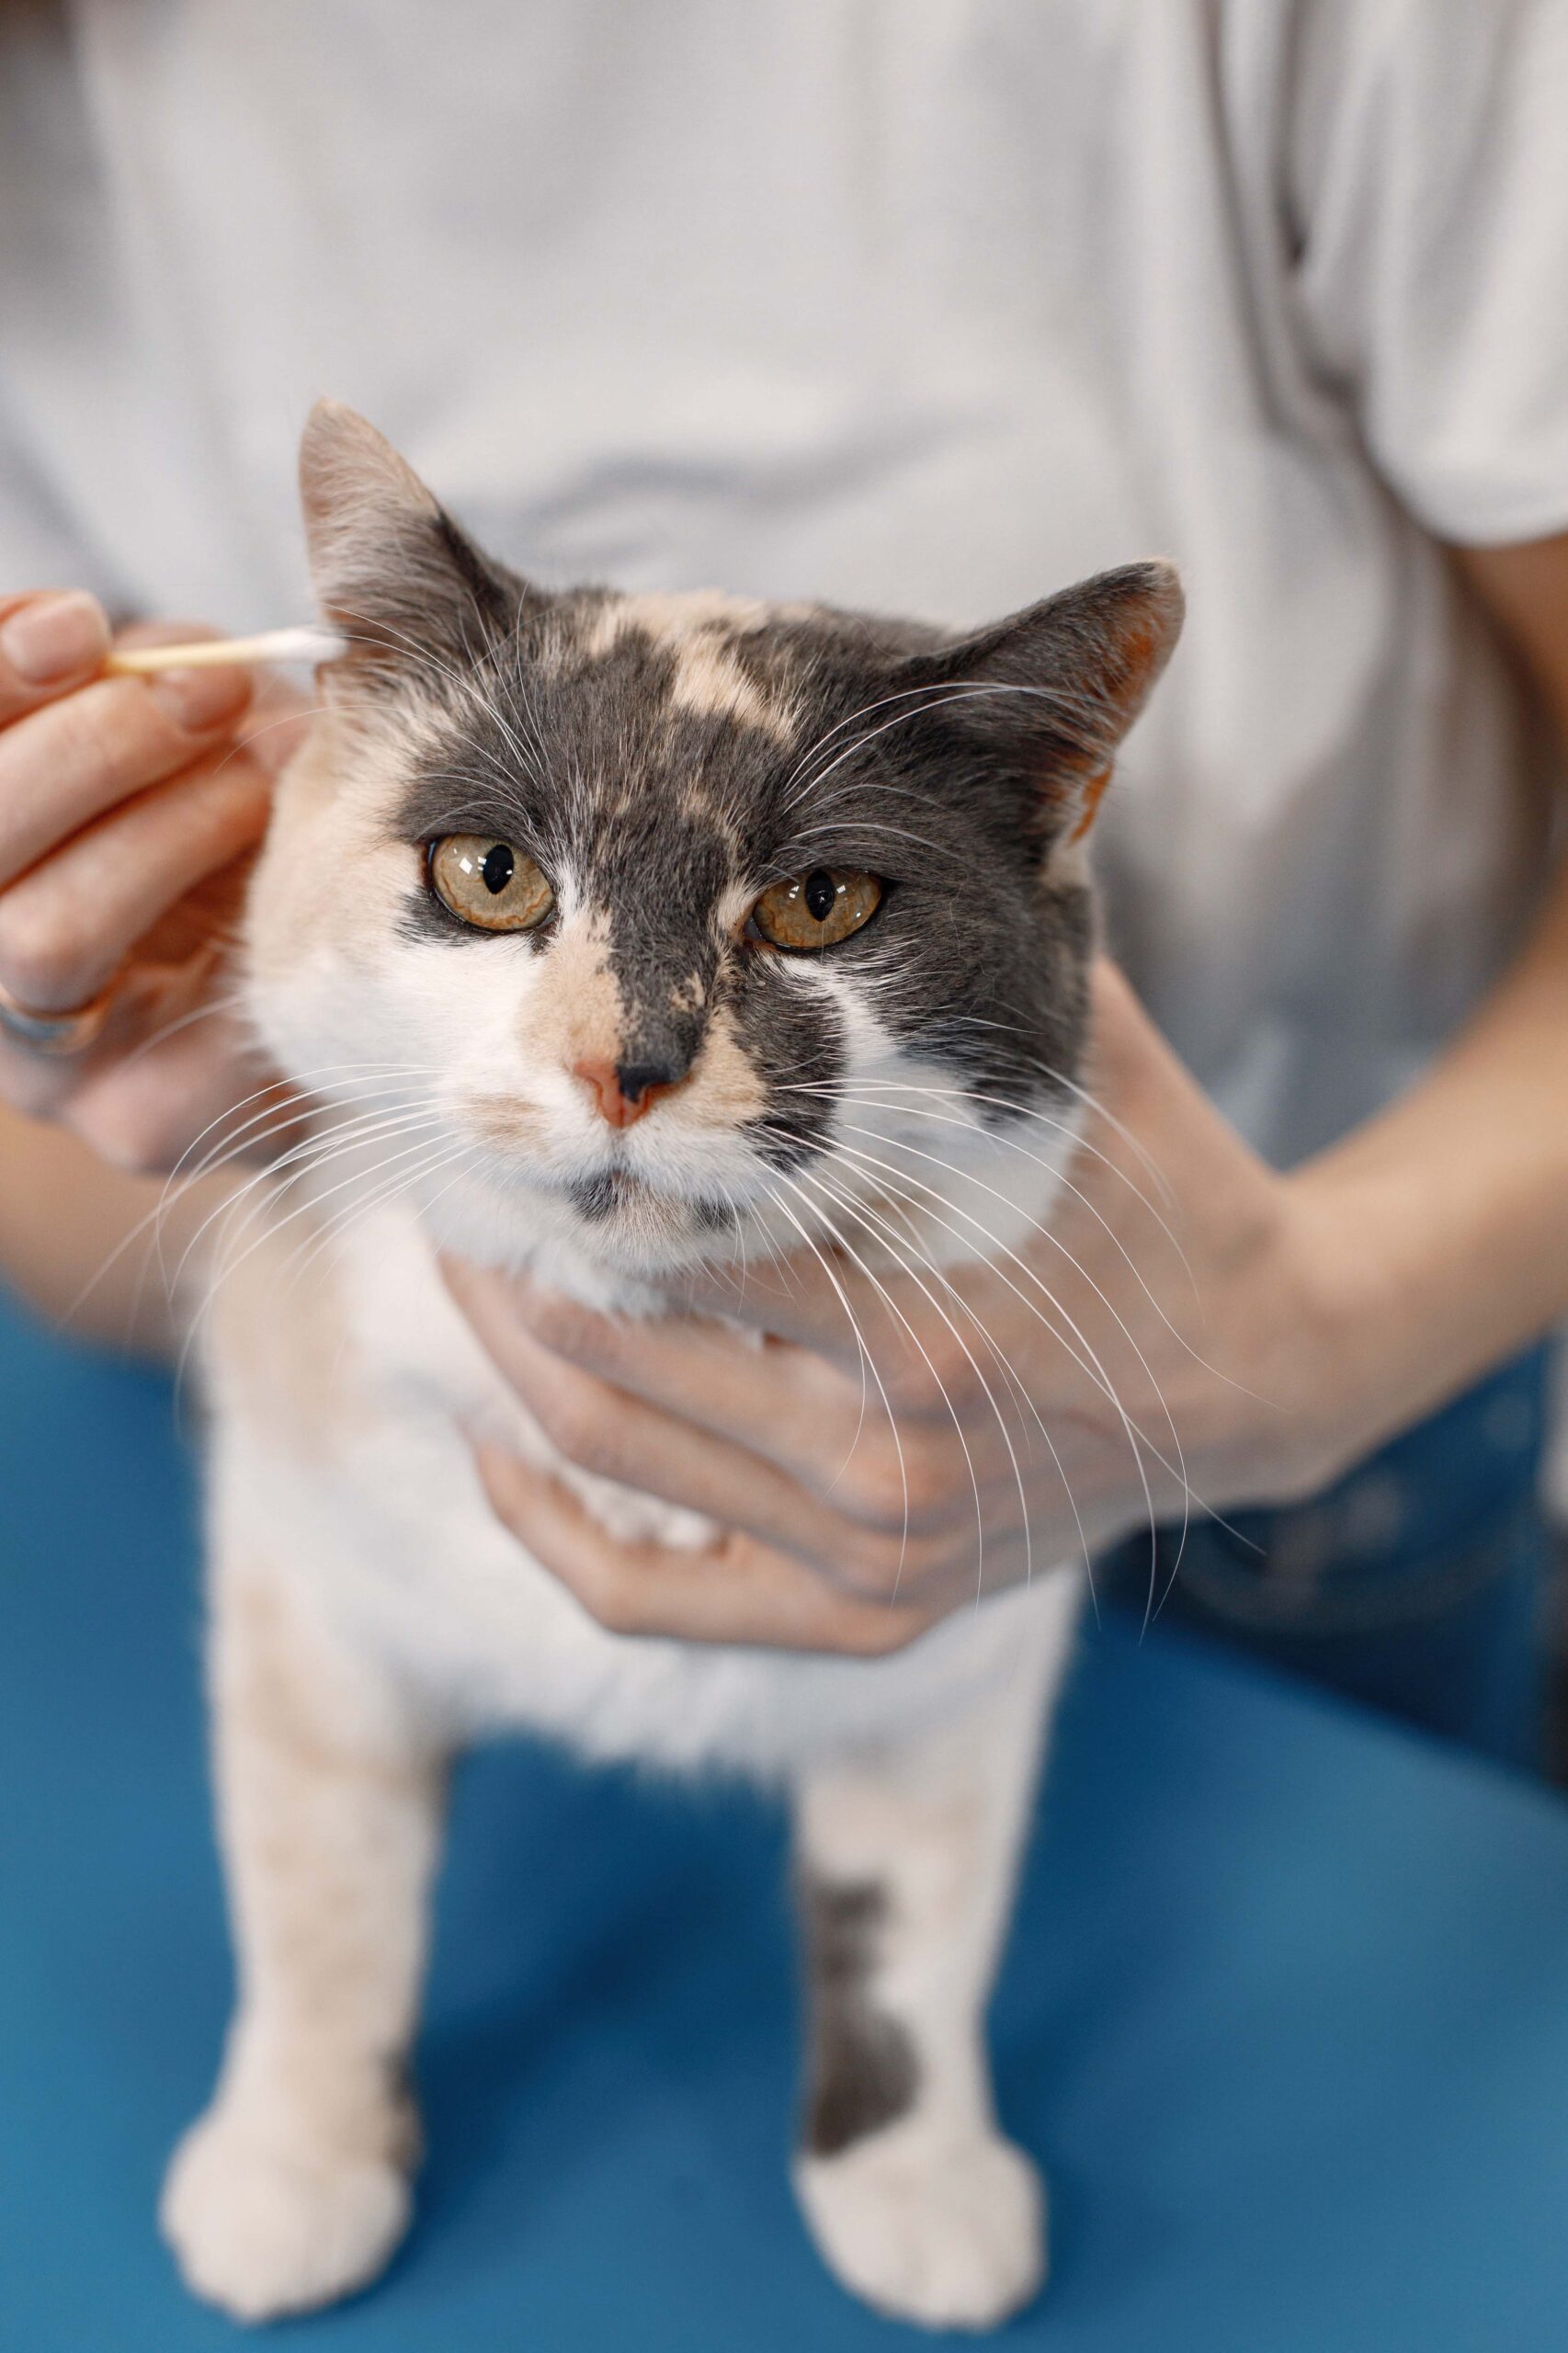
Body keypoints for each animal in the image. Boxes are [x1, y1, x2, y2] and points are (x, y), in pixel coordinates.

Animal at [158, 404, 1176, 2334]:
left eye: (823, 902)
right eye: (488, 875)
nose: (624, 1064)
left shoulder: (968, 1641)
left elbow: (915, 1927)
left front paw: (913, 2183)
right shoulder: (307, 1572)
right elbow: (322, 1891)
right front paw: (297, 2170)